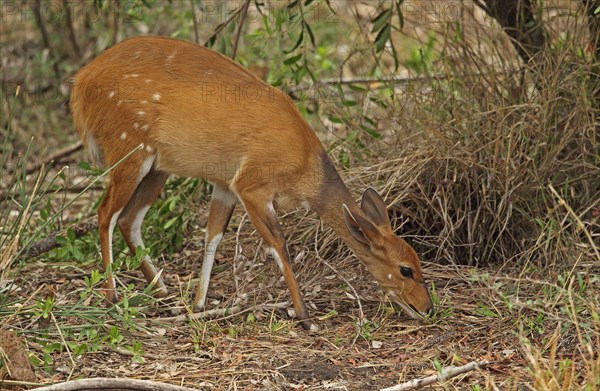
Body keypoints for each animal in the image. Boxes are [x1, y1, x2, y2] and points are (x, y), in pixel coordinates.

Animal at [70, 36, 434, 330]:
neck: (305, 164)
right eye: (405, 270)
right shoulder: (251, 185)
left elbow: (213, 236)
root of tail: (79, 84)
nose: (428, 308)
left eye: (418, 262)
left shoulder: (225, 186)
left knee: (129, 219)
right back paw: (113, 298)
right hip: (129, 148)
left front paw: (199, 305)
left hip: (157, 166)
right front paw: (305, 318)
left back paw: (165, 294)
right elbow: (279, 244)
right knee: (105, 213)